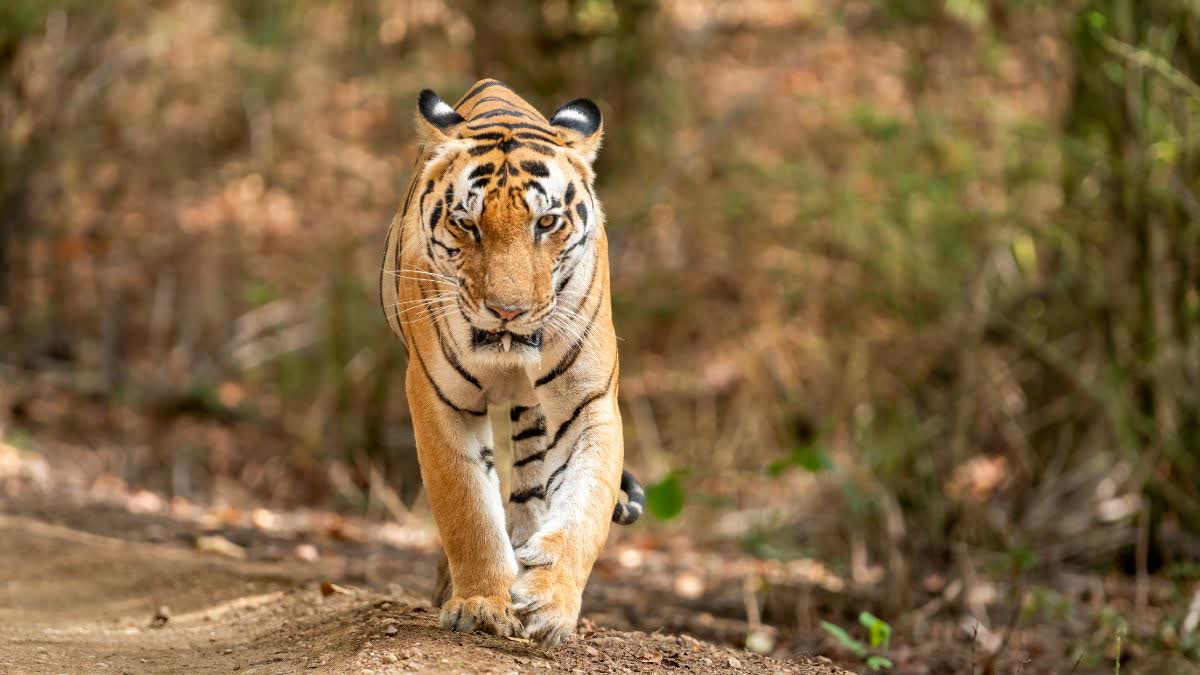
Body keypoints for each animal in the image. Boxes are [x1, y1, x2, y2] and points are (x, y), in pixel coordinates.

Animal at [379, 79, 646, 647]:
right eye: (467, 223)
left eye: (546, 222)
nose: (508, 311)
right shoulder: (438, 398)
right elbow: (467, 507)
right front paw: (482, 603)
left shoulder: (589, 402)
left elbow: (585, 508)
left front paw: (549, 602)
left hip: (534, 415)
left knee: (530, 487)